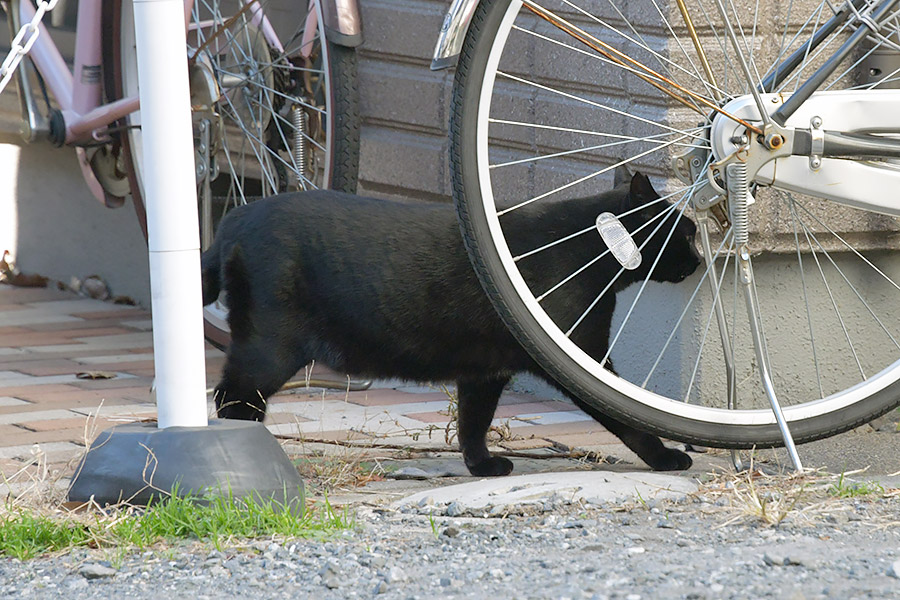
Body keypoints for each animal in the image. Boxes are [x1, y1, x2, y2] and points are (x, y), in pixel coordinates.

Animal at [204, 171, 704, 476]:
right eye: (689, 233)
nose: (701, 259)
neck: (590, 248)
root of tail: (234, 217)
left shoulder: (485, 371)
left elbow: (472, 423)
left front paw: (482, 467)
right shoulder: (584, 354)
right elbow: (629, 420)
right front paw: (666, 457)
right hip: (269, 348)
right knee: (231, 398)